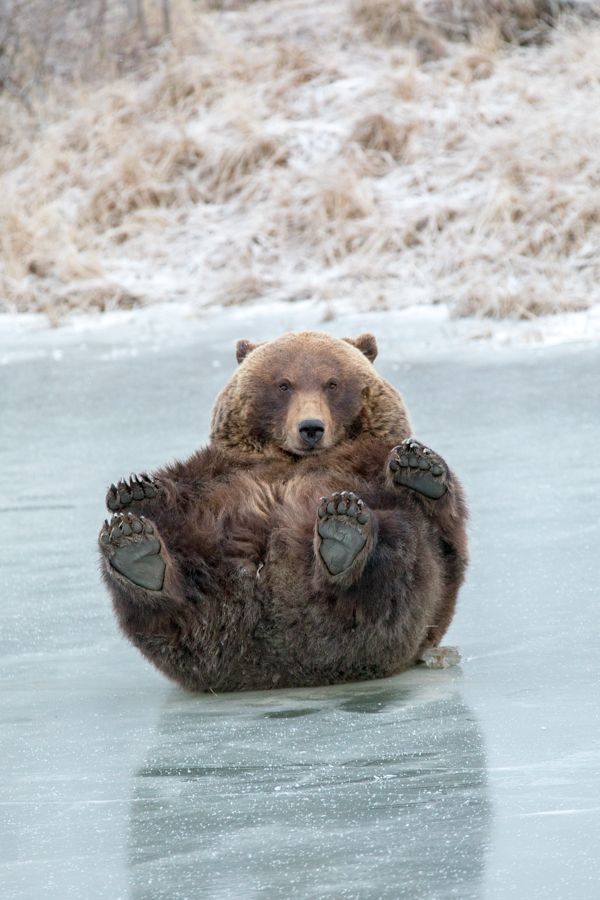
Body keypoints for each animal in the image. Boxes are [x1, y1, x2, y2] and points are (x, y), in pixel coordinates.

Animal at [97, 330, 468, 688]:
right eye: (284, 384)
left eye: (332, 383)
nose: (311, 427)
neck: (292, 459)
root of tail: (277, 663)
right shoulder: (221, 470)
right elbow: (184, 482)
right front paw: (136, 490)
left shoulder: (366, 462)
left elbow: (444, 530)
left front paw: (419, 467)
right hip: (204, 565)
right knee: (175, 580)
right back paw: (138, 548)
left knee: (397, 547)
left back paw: (343, 534)